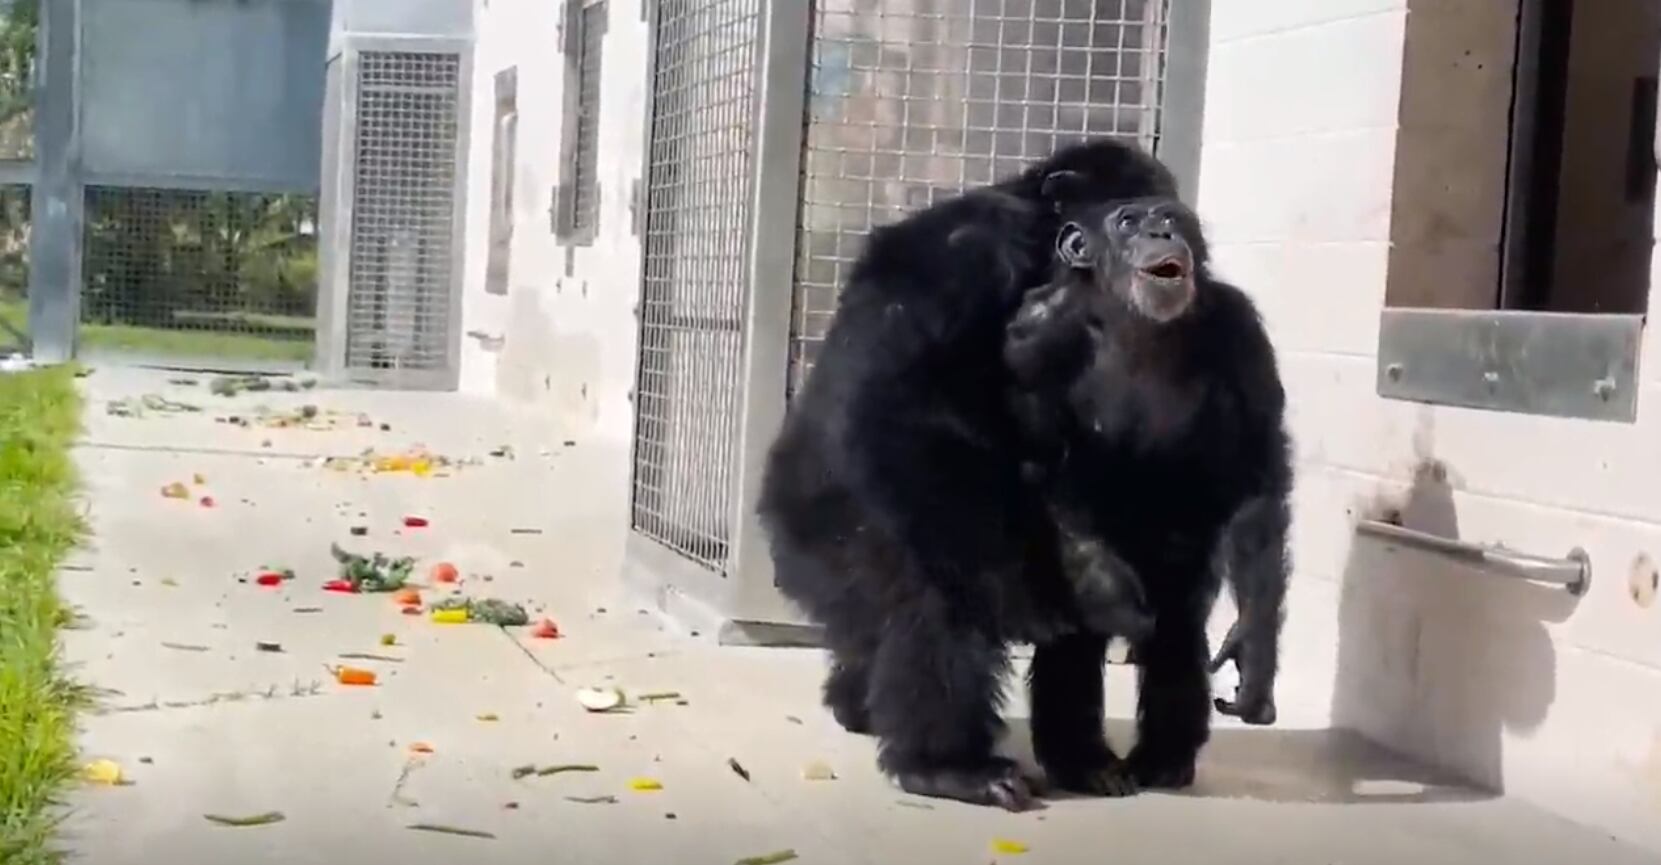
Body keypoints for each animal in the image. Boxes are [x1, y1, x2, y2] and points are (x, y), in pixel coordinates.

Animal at [754, 136, 1182, 810]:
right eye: (1131, 215)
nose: (1168, 232)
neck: (1039, 256)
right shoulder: (962, 257)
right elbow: (897, 405)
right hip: (825, 542)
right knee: (930, 593)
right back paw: (948, 765)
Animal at [996, 195, 1295, 796]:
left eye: (1171, 217)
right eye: (1128, 222)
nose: (1161, 231)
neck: (1132, 323)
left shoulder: (1241, 330)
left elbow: (1257, 477)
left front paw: (1253, 652)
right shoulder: (1029, 340)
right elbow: (1037, 460)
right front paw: (1110, 591)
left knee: (1178, 629)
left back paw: (1162, 759)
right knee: (1076, 641)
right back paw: (1084, 762)